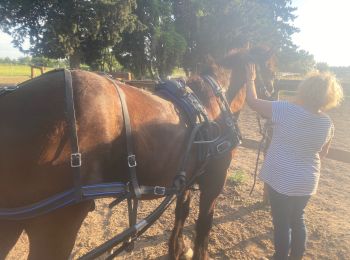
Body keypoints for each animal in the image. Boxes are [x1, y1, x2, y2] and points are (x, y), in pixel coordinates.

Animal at [0, 47, 274, 260]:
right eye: (272, 71)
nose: (273, 98)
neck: (209, 106)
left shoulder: (187, 177)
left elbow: (181, 213)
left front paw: (177, 249)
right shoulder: (214, 183)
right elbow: (204, 225)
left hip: (11, 223)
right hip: (56, 223)